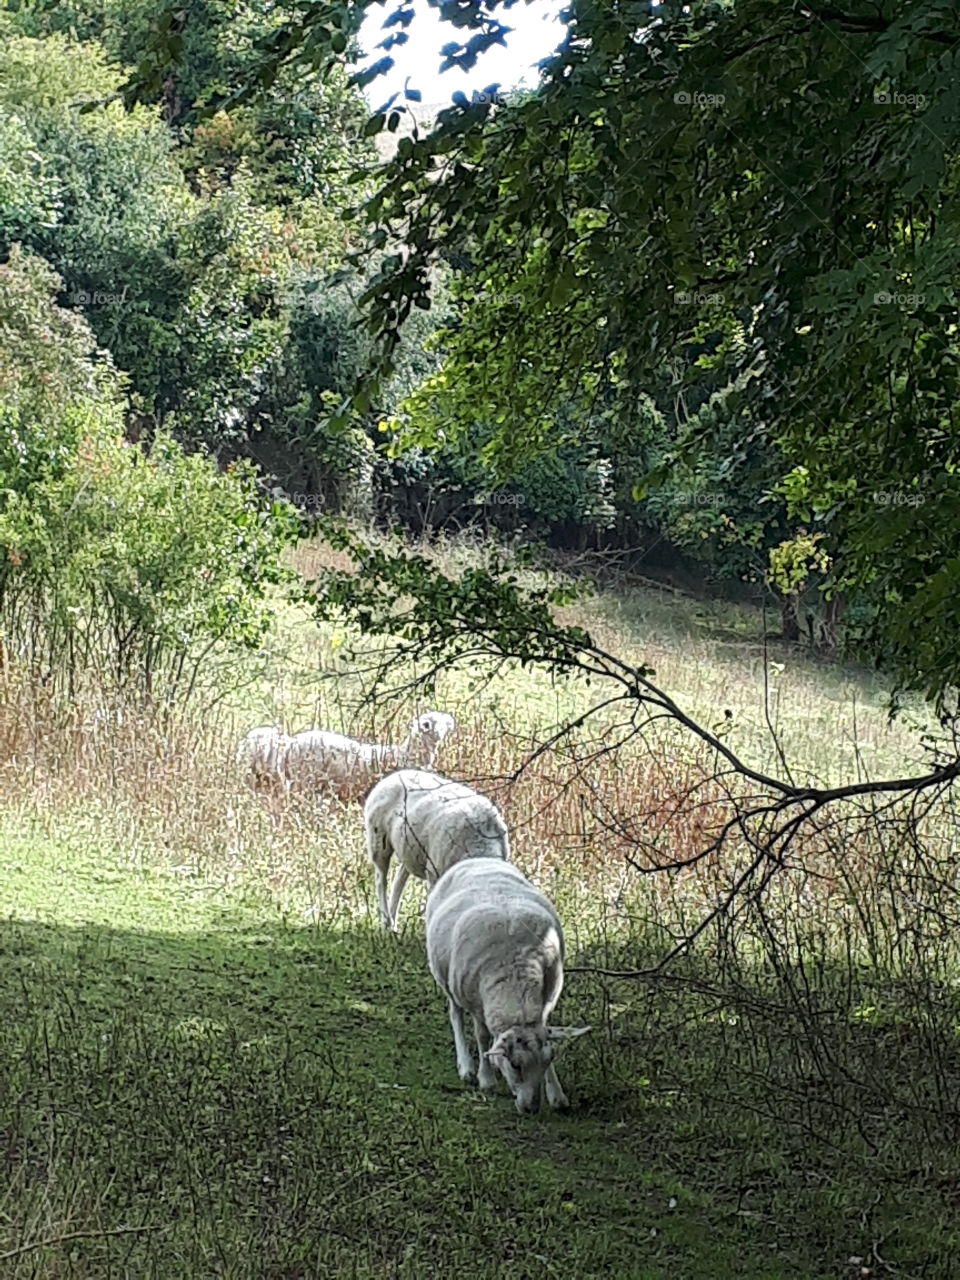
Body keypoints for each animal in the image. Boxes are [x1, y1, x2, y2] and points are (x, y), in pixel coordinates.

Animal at [363, 762, 512, 936]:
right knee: (381, 879)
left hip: (409, 848)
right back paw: (386, 922)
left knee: (399, 878)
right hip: (378, 839)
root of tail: (392, 776)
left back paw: (393, 925)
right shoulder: (435, 873)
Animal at [424, 855, 591, 1116]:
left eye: (548, 1060)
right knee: (455, 1014)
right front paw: (486, 1078)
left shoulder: (546, 1003)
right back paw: (466, 1066)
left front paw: (556, 1094)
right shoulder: (475, 1001)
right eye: (515, 1064)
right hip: (446, 979)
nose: (531, 1108)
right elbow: (481, 1035)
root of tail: (477, 859)